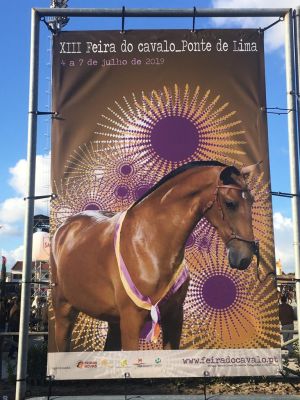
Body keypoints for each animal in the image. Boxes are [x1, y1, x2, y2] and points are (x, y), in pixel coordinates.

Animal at [50, 161, 256, 352]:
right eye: (230, 203)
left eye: (252, 201)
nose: (244, 256)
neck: (149, 243)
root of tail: (65, 227)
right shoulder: (131, 322)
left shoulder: (174, 318)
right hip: (63, 312)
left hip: (112, 320)